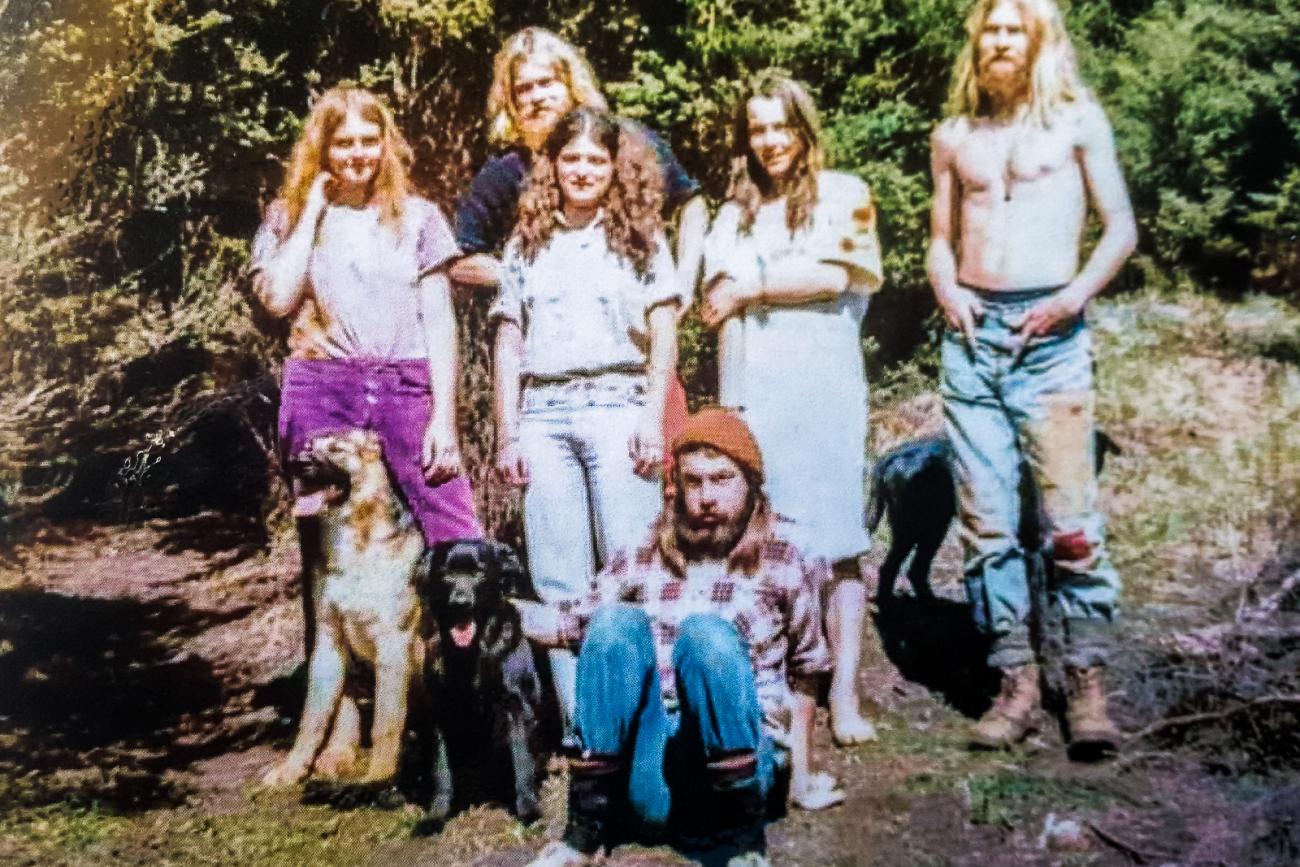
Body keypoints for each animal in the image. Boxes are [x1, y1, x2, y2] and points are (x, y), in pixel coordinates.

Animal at [262, 431, 426, 790]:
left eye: (337, 449)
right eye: (309, 447)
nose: (296, 463)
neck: (355, 539)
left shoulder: (393, 646)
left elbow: (386, 723)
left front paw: (379, 776)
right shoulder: (327, 641)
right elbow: (311, 720)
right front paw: (291, 769)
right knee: (348, 714)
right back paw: (336, 756)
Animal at [413, 543, 540, 831]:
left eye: (479, 572)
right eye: (446, 573)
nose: (461, 603)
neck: (469, 654)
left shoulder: (514, 704)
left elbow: (522, 760)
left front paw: (528, 809)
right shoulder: (439, 710)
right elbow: (441, 768)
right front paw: (436, 815)